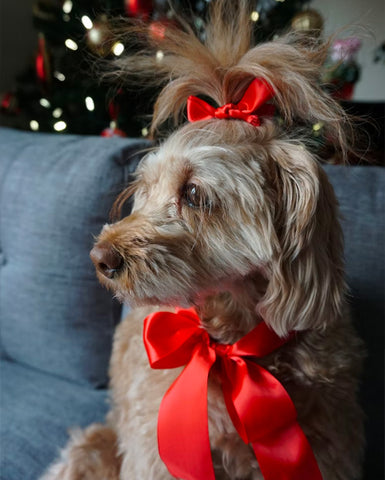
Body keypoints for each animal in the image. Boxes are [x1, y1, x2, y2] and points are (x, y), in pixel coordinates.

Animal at [41, 0, 364, 480]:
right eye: (145, 189)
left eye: (193, 193)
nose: (100, 257)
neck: (232, 341)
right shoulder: (155, 450)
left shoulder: (332, 447)